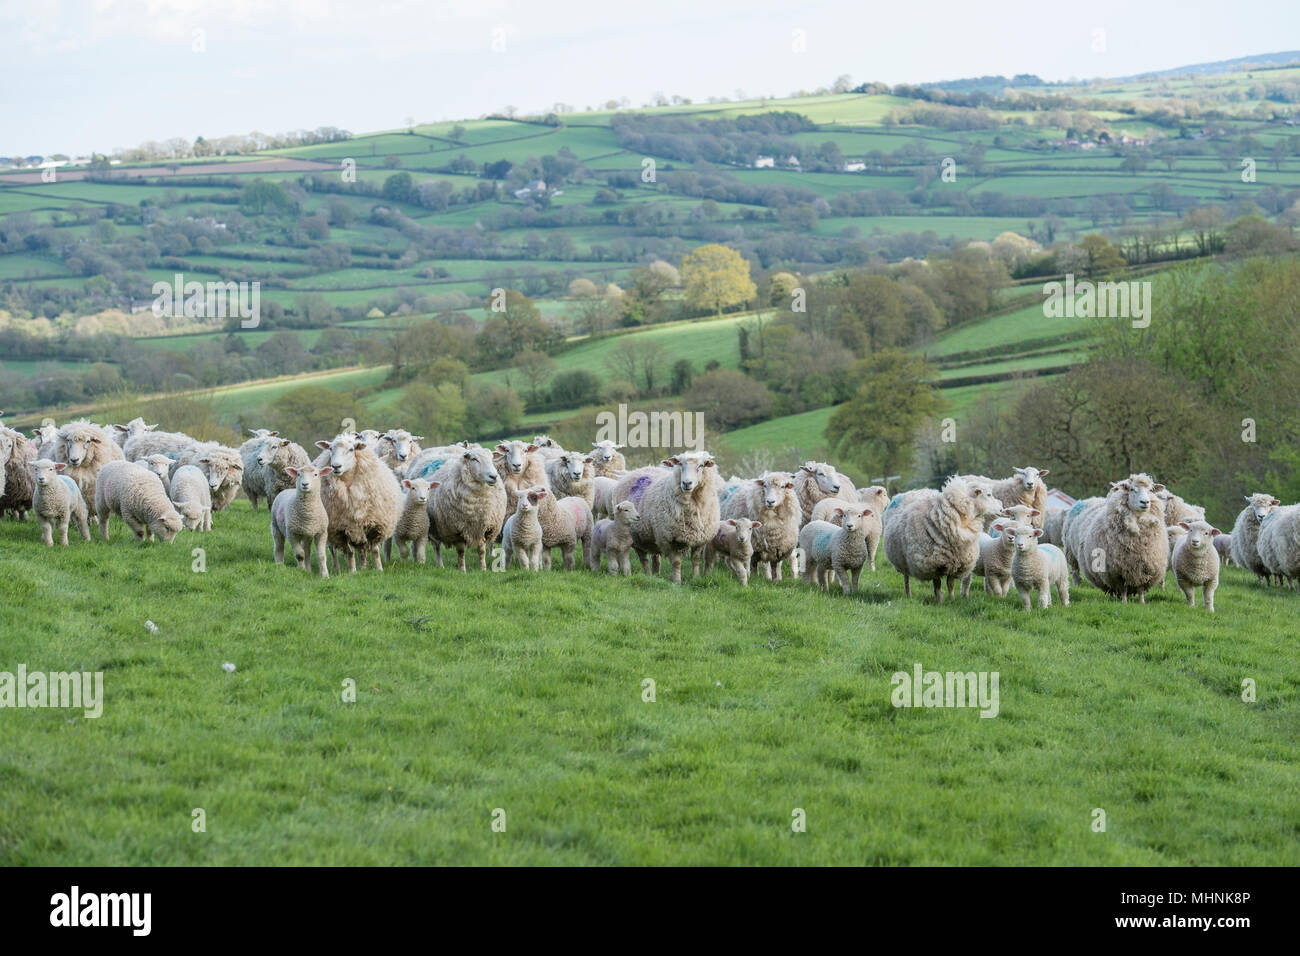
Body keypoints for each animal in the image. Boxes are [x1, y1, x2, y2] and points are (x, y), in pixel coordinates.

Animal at [313, 434, 400, 574]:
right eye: (330, 448)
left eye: (351, 449)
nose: (335, 466)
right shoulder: (341, 528)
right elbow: (349, 552)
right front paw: (352, 571)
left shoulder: (374, 525)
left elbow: (375, 550)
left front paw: (379, 569)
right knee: (333, 549)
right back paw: (337, 568)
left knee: (362, 549)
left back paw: (363, 566)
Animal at [426, 444, 506, 572]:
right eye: (474, 459)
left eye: (491, 458)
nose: (493, 476)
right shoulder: (457, 529)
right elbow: (461, 551)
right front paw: (462, 570)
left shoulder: (483, 527)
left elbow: (481, 550)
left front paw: (483, 569)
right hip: (434, 528)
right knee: (436, 547)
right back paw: (440, 565)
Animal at [611, 455, 722, 587]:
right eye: (680, 464)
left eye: (701, 465)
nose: (686, 483)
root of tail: (632, 472)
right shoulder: (670, 539)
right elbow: (676, 563)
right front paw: (677, 583)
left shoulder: (700, 539)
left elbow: (695, 560)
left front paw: (696, 579)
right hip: (636, 537)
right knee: (643, 559)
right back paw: (648, 575)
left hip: (652, 536)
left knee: (655, 557)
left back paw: (656, 575)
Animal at [878, 478, 987, 606]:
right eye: (984, 494)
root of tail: (912, 492)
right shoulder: (932, 564)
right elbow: (938, 584)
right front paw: (940, 601)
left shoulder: (956, 563)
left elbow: (950, 584)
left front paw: (951, 600)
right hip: (902, 560)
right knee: (906, 579)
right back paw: (908, 595)